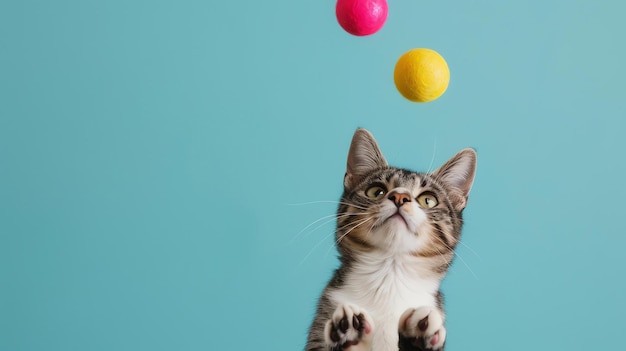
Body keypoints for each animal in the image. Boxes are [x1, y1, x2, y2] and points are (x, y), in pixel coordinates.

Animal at [304, 129, 476, 351]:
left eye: (428, 200)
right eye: (377, 191)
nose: (400, 197)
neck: (390, 277)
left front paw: (417, 333)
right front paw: (349, 332)